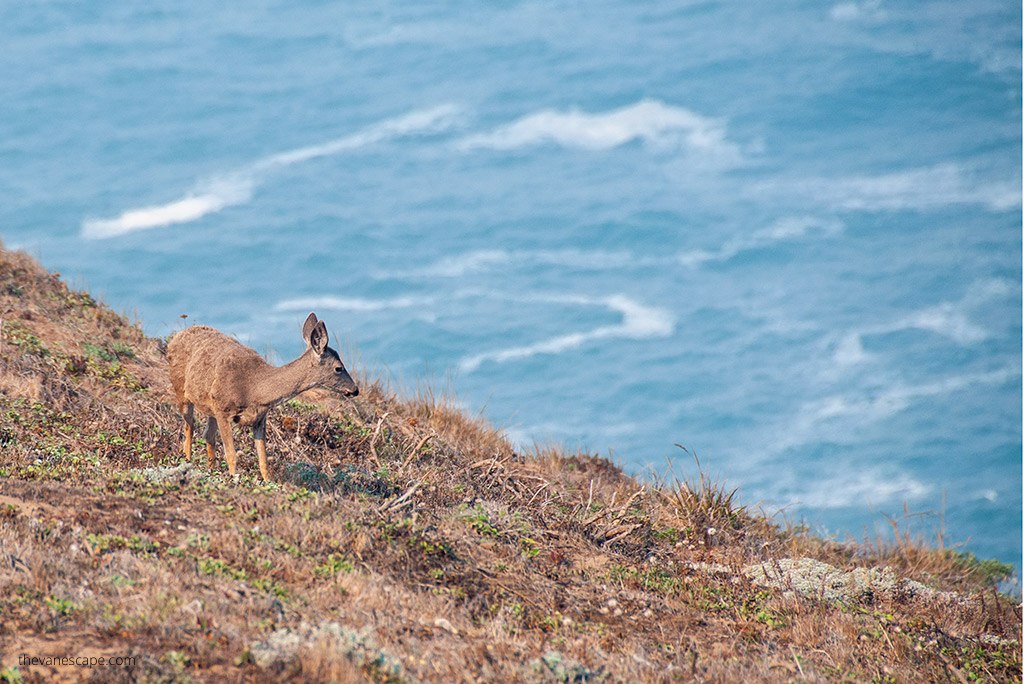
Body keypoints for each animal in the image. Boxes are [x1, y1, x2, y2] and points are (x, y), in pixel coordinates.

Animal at [168, 311, 360, 481]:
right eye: (338, 368)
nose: (355, 390)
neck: (255, 390)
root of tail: (176, 336)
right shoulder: (223, 410)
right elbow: (231, 455)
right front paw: (234, 481)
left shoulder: (260, 418)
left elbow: (263, 461)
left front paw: (269, 484)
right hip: (181, 391)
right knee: (189, 425)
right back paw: (187, 463)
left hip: (209, 407)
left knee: (207, 434)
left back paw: (211, 470)